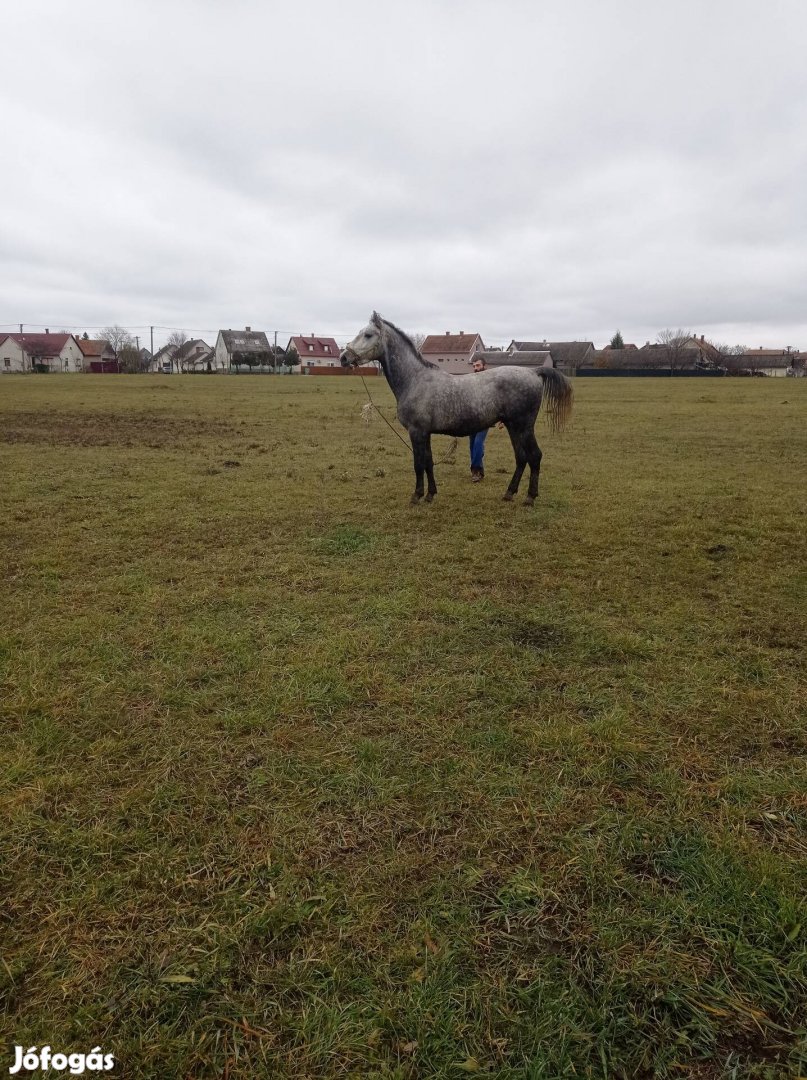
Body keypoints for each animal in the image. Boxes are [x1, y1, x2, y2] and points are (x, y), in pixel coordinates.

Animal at [341, 313, 574, 505]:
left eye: (368, 334)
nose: (344, 357)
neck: (415, 379)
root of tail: (533, 372)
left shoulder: (417, 432)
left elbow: (418, 464)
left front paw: (417, 496)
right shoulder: (425, 433)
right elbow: (428, 462)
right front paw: (430, 495)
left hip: (523, 426)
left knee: (534, 456)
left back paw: (529, 498)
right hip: (513, 427)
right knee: (521, 457)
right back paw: (509, 493)